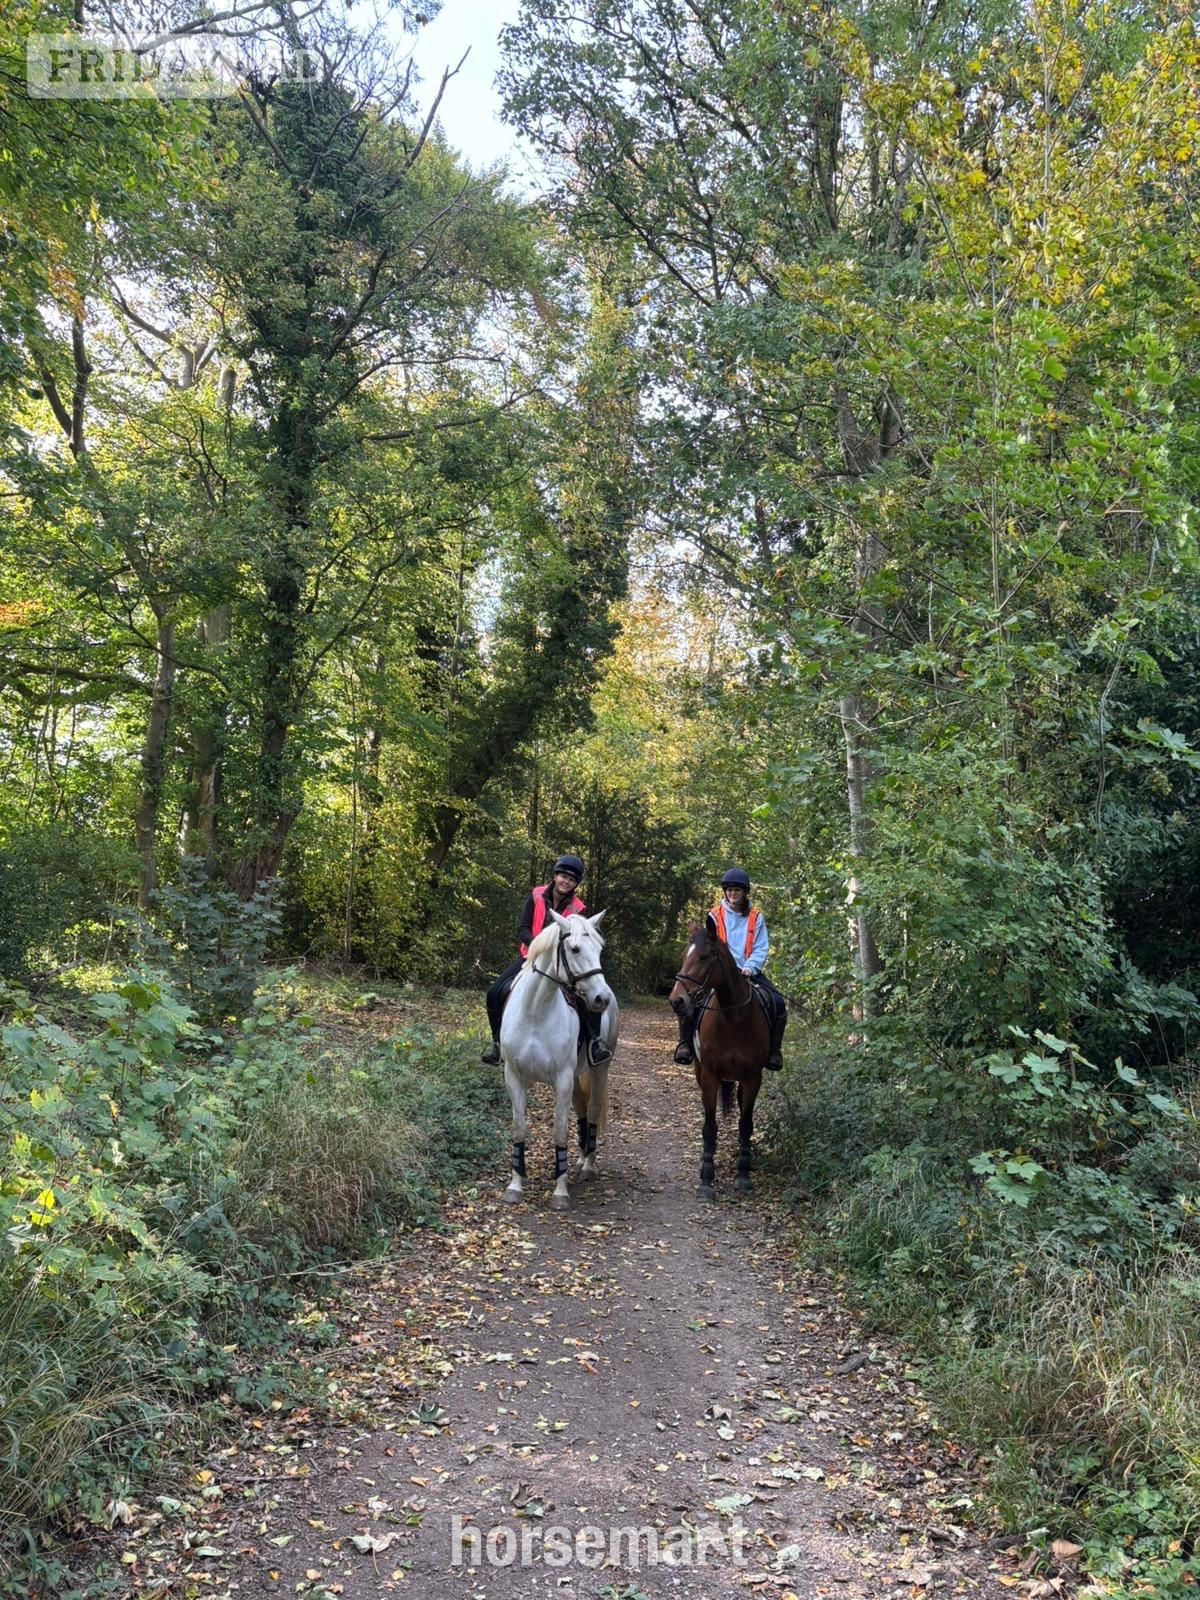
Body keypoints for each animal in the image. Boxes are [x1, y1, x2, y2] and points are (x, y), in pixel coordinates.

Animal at [499, 908, 618, 1211]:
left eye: (599, 949)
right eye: (574, 949)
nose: (601, 998)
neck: (535, 1010)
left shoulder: (562, 1079)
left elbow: (560, 1131)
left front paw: (560, 1192)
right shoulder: (514, 1075)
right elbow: (519, 1128)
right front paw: (515, 1185)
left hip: (599, 1070)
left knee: (594, 1108)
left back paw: (588, 1164)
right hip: (576, 1077)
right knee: (582, 1110)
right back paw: (581, 1157)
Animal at [668, 912, 768, 1201]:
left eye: (704, 957)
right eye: (684, 955)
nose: (676, 1000)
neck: (733, 1018)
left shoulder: (753, 1078)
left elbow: (746, 1124)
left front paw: (743, 1174)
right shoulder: (710, 1076)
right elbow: (709, 1126)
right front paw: (706, 1177)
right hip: (700, 1072)